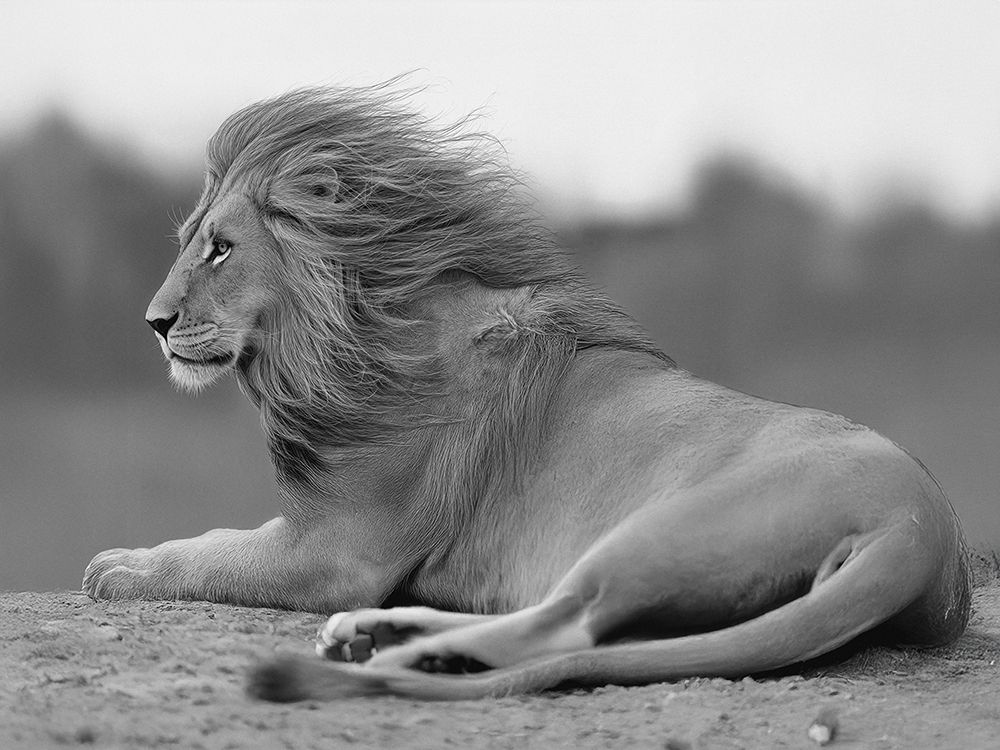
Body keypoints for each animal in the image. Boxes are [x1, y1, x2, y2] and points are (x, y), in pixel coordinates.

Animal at [83, 84, 971, 701]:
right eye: (188, 243)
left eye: (222, 249)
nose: (155, 323)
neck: (343, 340)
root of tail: (918, 529)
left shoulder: (335, 550)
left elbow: (211, 552)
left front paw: (120, 568)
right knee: (578, 626)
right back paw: (382, 635)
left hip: (663, 526)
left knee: (569, 624)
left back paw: (410, 653)